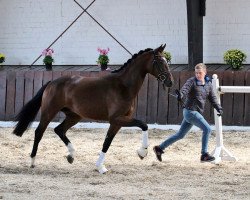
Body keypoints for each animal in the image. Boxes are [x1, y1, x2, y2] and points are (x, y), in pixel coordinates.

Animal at [12, 44, 173, 173]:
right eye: (160, 62)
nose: (170, 82)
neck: (123, 86)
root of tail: (51, 83)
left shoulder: (118, 122)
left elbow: (107, 142)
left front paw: (101, 166)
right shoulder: (117, 119)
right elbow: (143, 125)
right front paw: (142, 152)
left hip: (74, 116)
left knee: (59, 130)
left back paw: (71, 155)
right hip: (49, 112)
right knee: (39, 132)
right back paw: (32, 161)